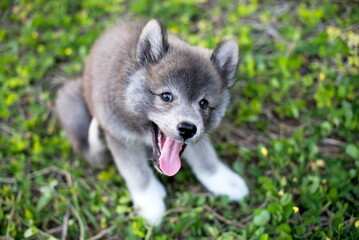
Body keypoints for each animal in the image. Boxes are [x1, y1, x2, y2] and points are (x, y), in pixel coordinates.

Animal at [54, 18, 249, 225]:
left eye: (204, 103)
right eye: (166, 96)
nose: (188, 129)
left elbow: (206, 158)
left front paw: (222, 180)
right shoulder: (121, 139)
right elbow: (137, 173)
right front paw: (150, 203)